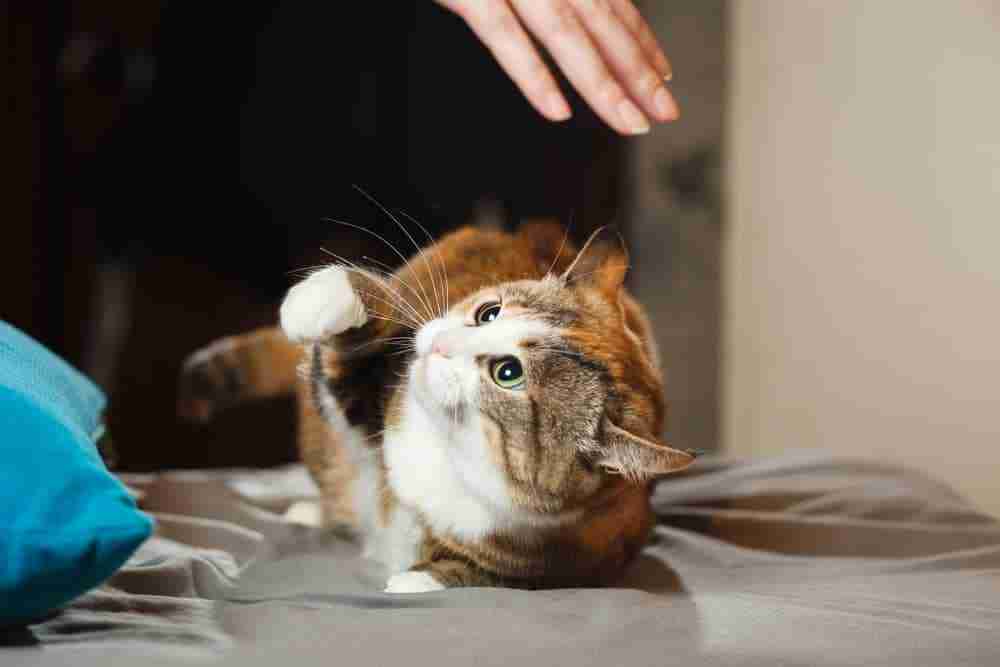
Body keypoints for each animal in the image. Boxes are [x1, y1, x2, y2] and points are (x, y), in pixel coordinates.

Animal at [180, 222, 692, 592]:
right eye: (489, 312)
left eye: (508, 372)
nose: (440, 343)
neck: (448, 449)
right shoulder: (379, 394)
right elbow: (349, 362)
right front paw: (318, 300)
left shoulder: (590, 551)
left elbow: (489, 573)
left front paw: (418, 580)